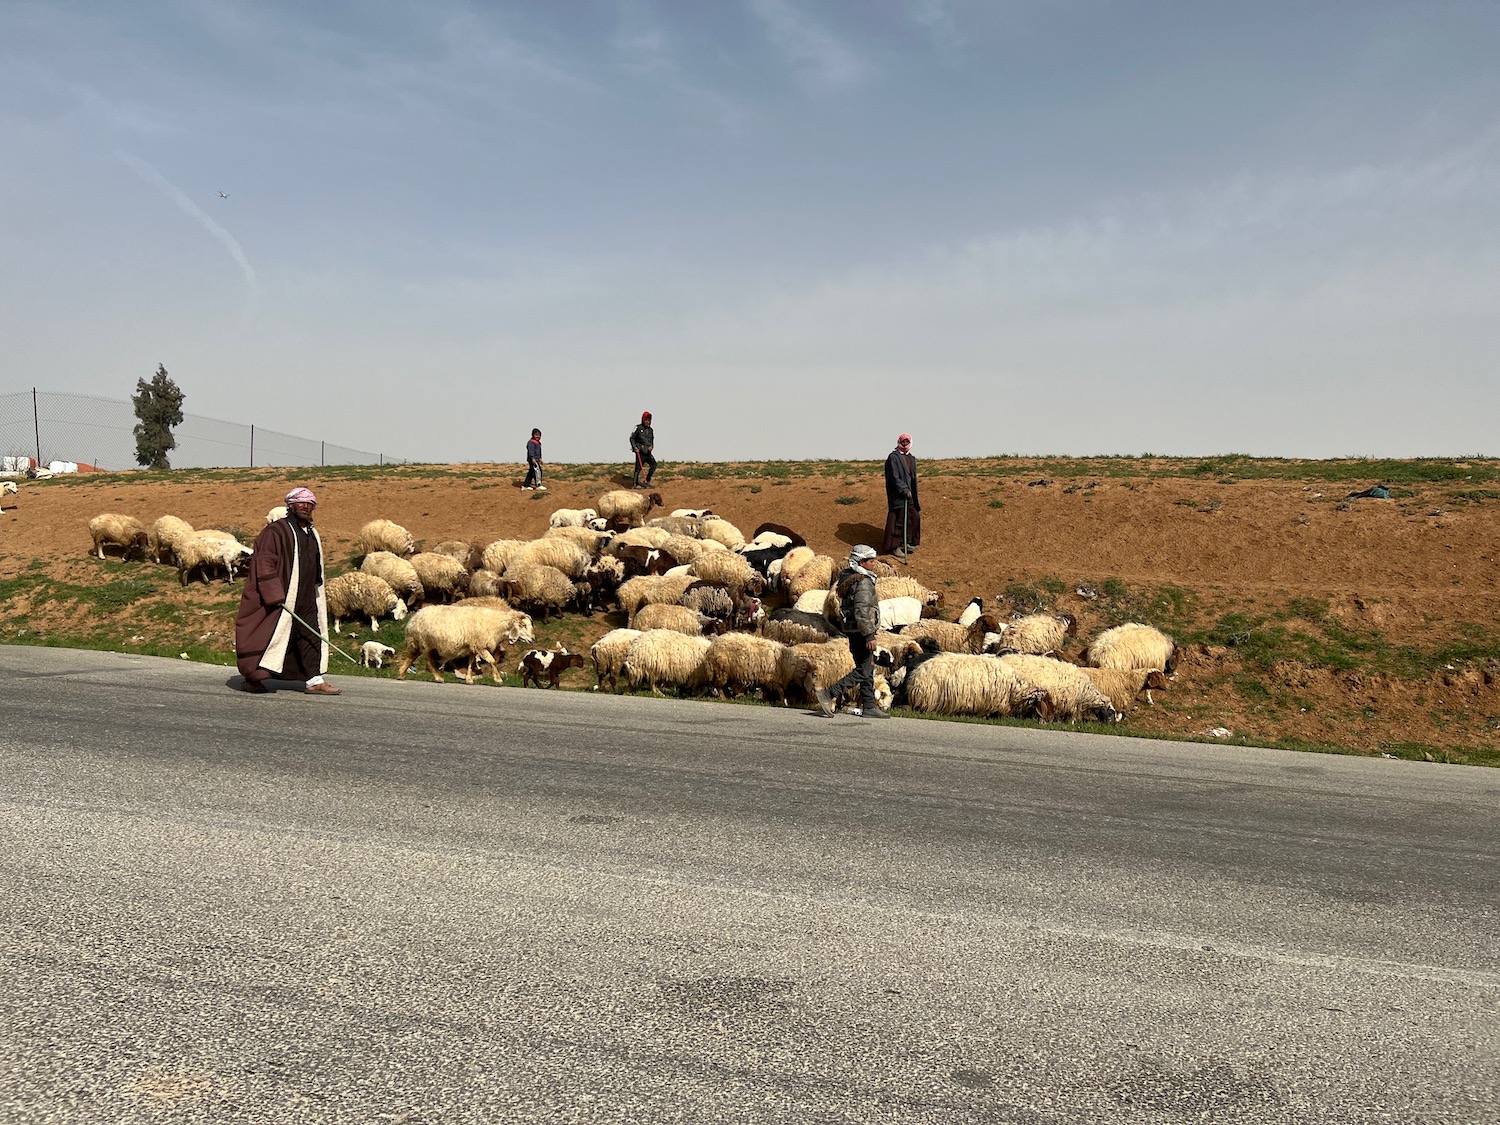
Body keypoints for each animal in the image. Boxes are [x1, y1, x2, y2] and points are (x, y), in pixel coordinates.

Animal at [396, 609, 537, 687]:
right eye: (523, 625)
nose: (533, 638)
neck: (496, 625)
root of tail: (412, 620)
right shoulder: (480, 645)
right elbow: (492, 661)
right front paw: (498, 680)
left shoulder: (472, 646)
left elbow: (470, 663)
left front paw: (469, 679)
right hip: (427, 643)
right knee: (428, 662)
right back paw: (438, 678)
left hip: (418, 643)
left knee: (410, 658)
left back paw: (401, 674)